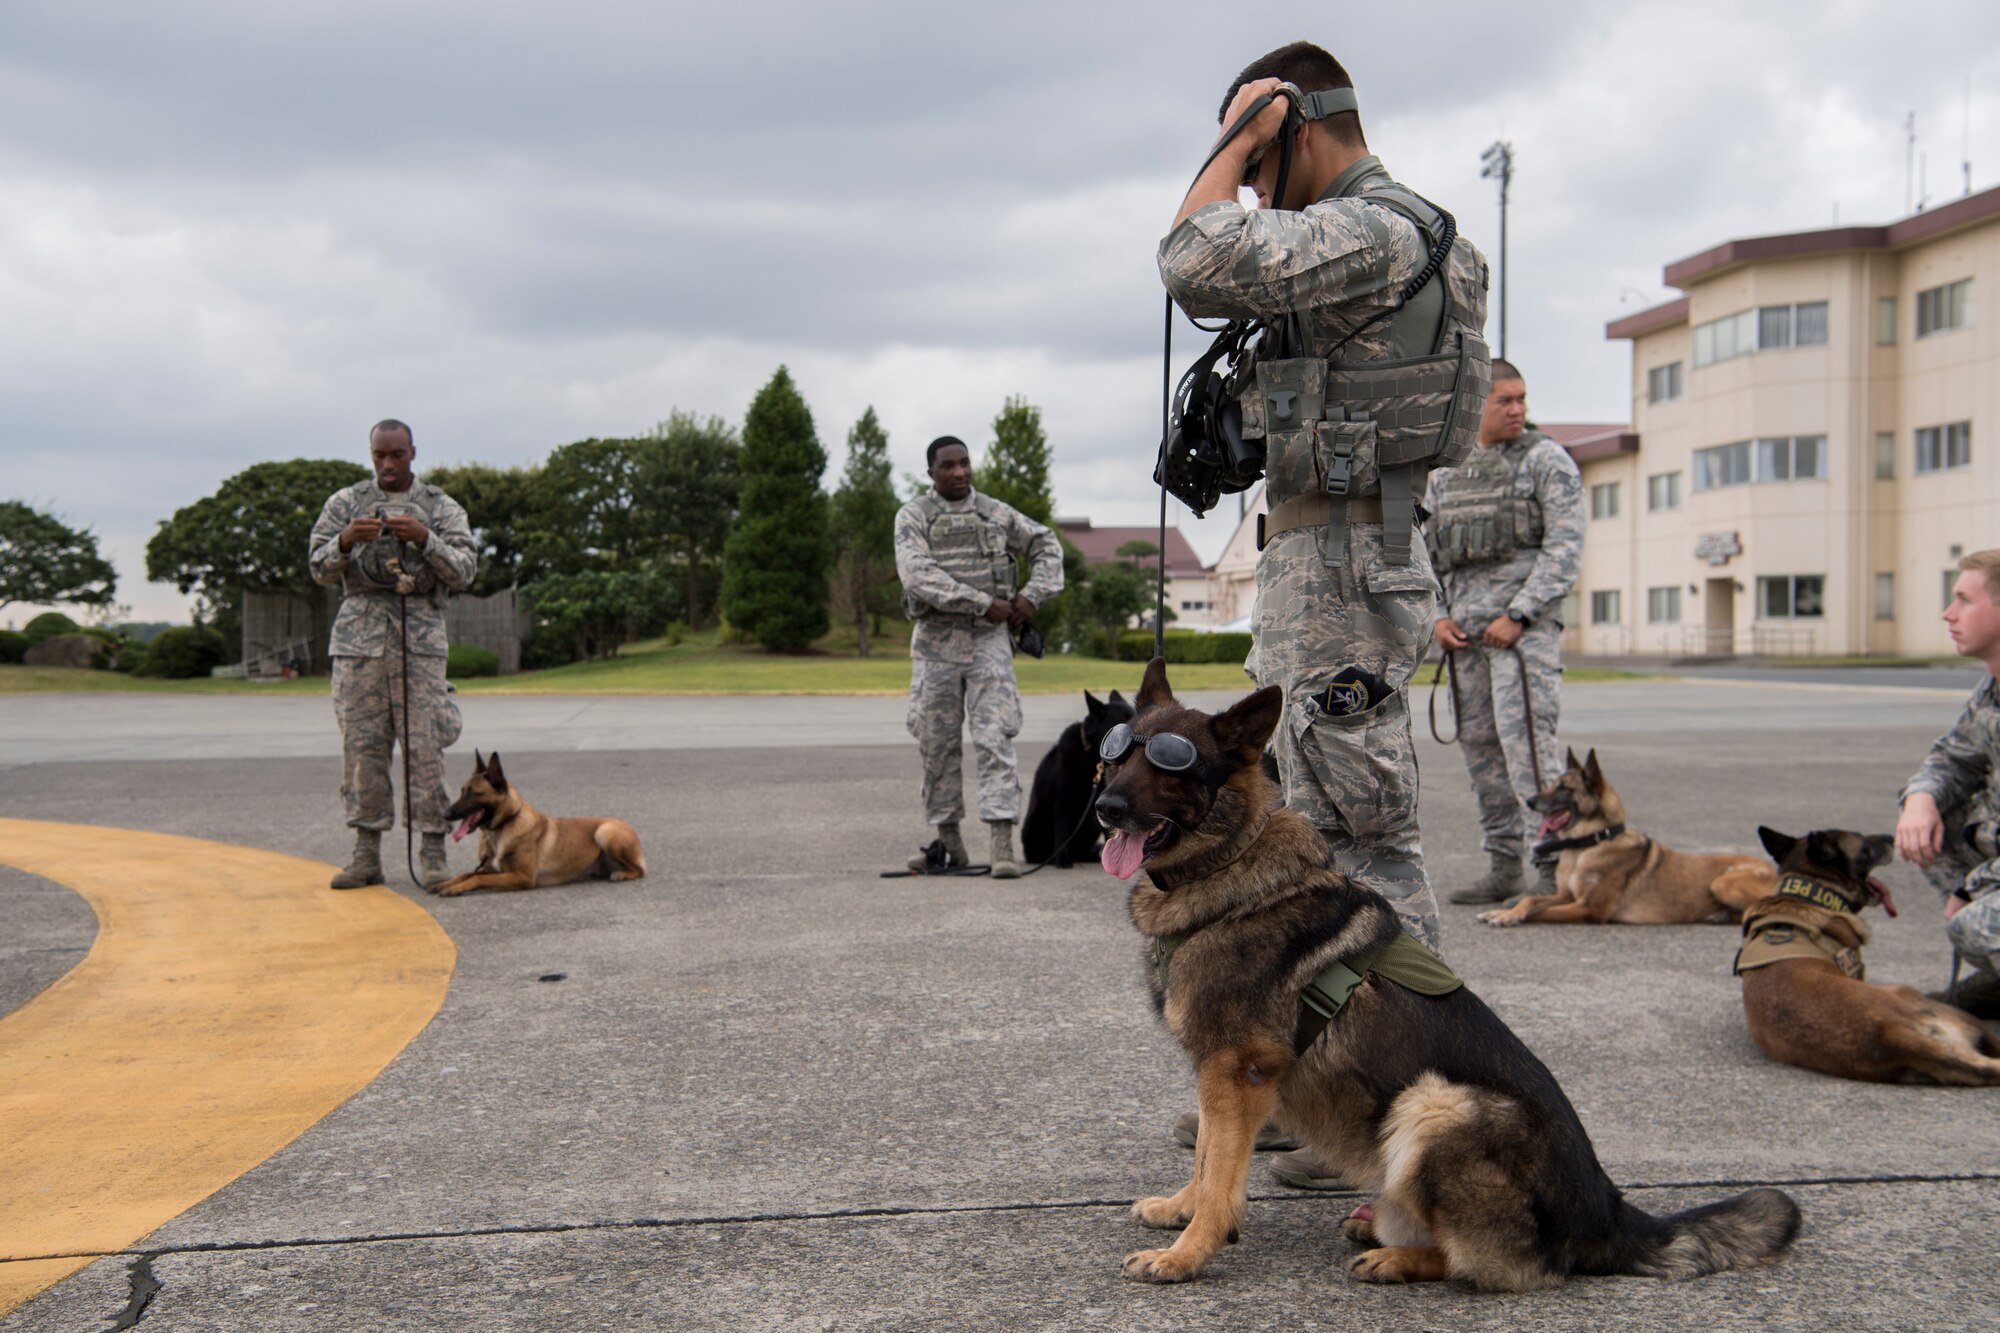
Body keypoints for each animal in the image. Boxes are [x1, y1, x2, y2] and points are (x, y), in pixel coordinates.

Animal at [434, 748, 644, 892]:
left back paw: (623, 874)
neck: (505, 824)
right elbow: (467, 873)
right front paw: (446, 883)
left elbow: (478, 878)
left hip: (604, 831)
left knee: (639, 870)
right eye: (462, 791)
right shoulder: (492, 869)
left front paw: (455, 888)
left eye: (473, 794)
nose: (445, 815)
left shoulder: (523, 877)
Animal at [1480, 748, 1776, 924]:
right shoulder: (1565, 896)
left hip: (1722, 882)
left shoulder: (1590, 909)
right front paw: (1504, 911)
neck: (1588, 846)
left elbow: (1540, 911)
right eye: (1552, 783)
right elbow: (1531, 900)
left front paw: (1510, 917)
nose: (1529, 801)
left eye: (1564, 788)